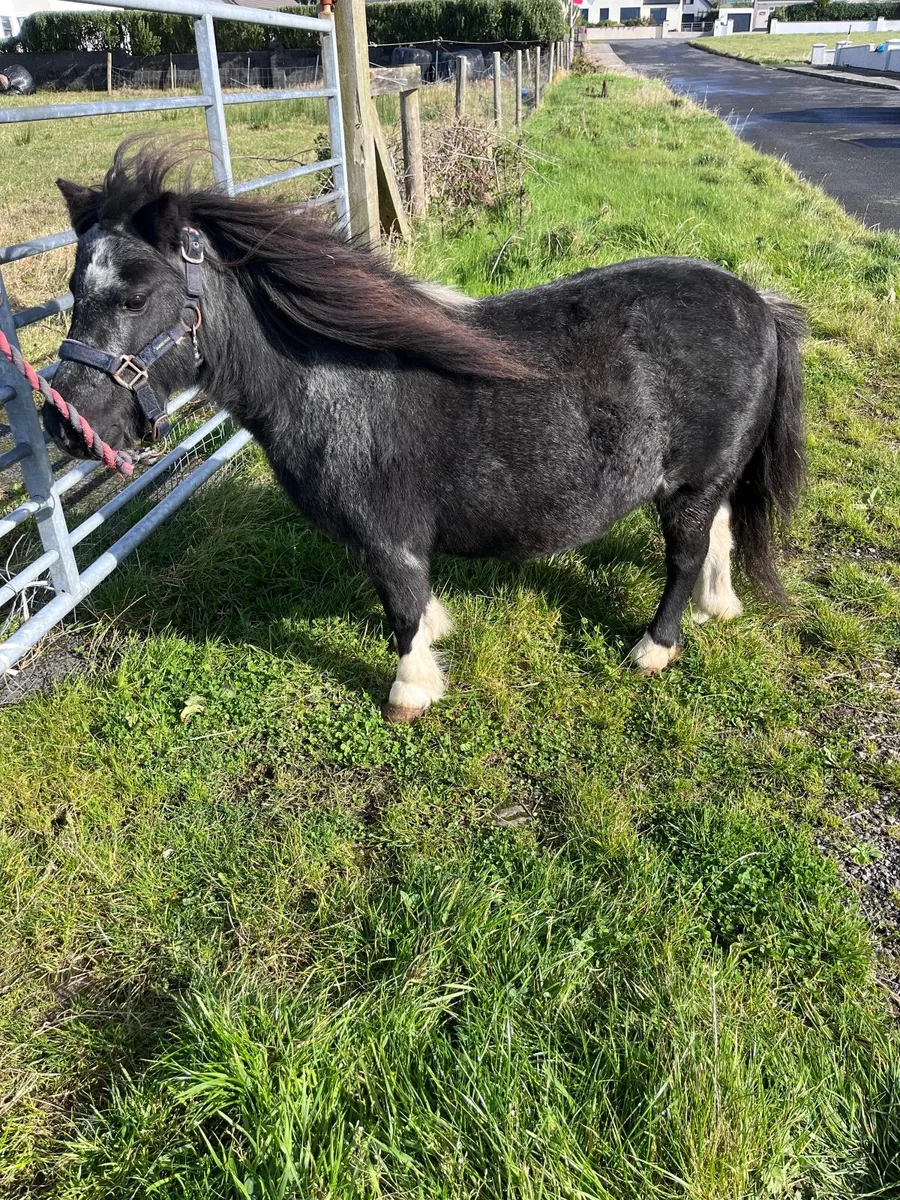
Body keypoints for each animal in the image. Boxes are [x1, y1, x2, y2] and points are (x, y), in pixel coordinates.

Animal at [47, 144, 805, 723]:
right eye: (74, 290)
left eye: (135, 297)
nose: (66, 423)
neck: (334, 379)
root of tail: (757, 303)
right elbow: (416, 602)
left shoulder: (387, 535)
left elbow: (401, 608)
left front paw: (410, 691)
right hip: (710, 481)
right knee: (719, 535)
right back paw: (716, 607)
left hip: (690, 483)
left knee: (684, 555)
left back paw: (656, 646)